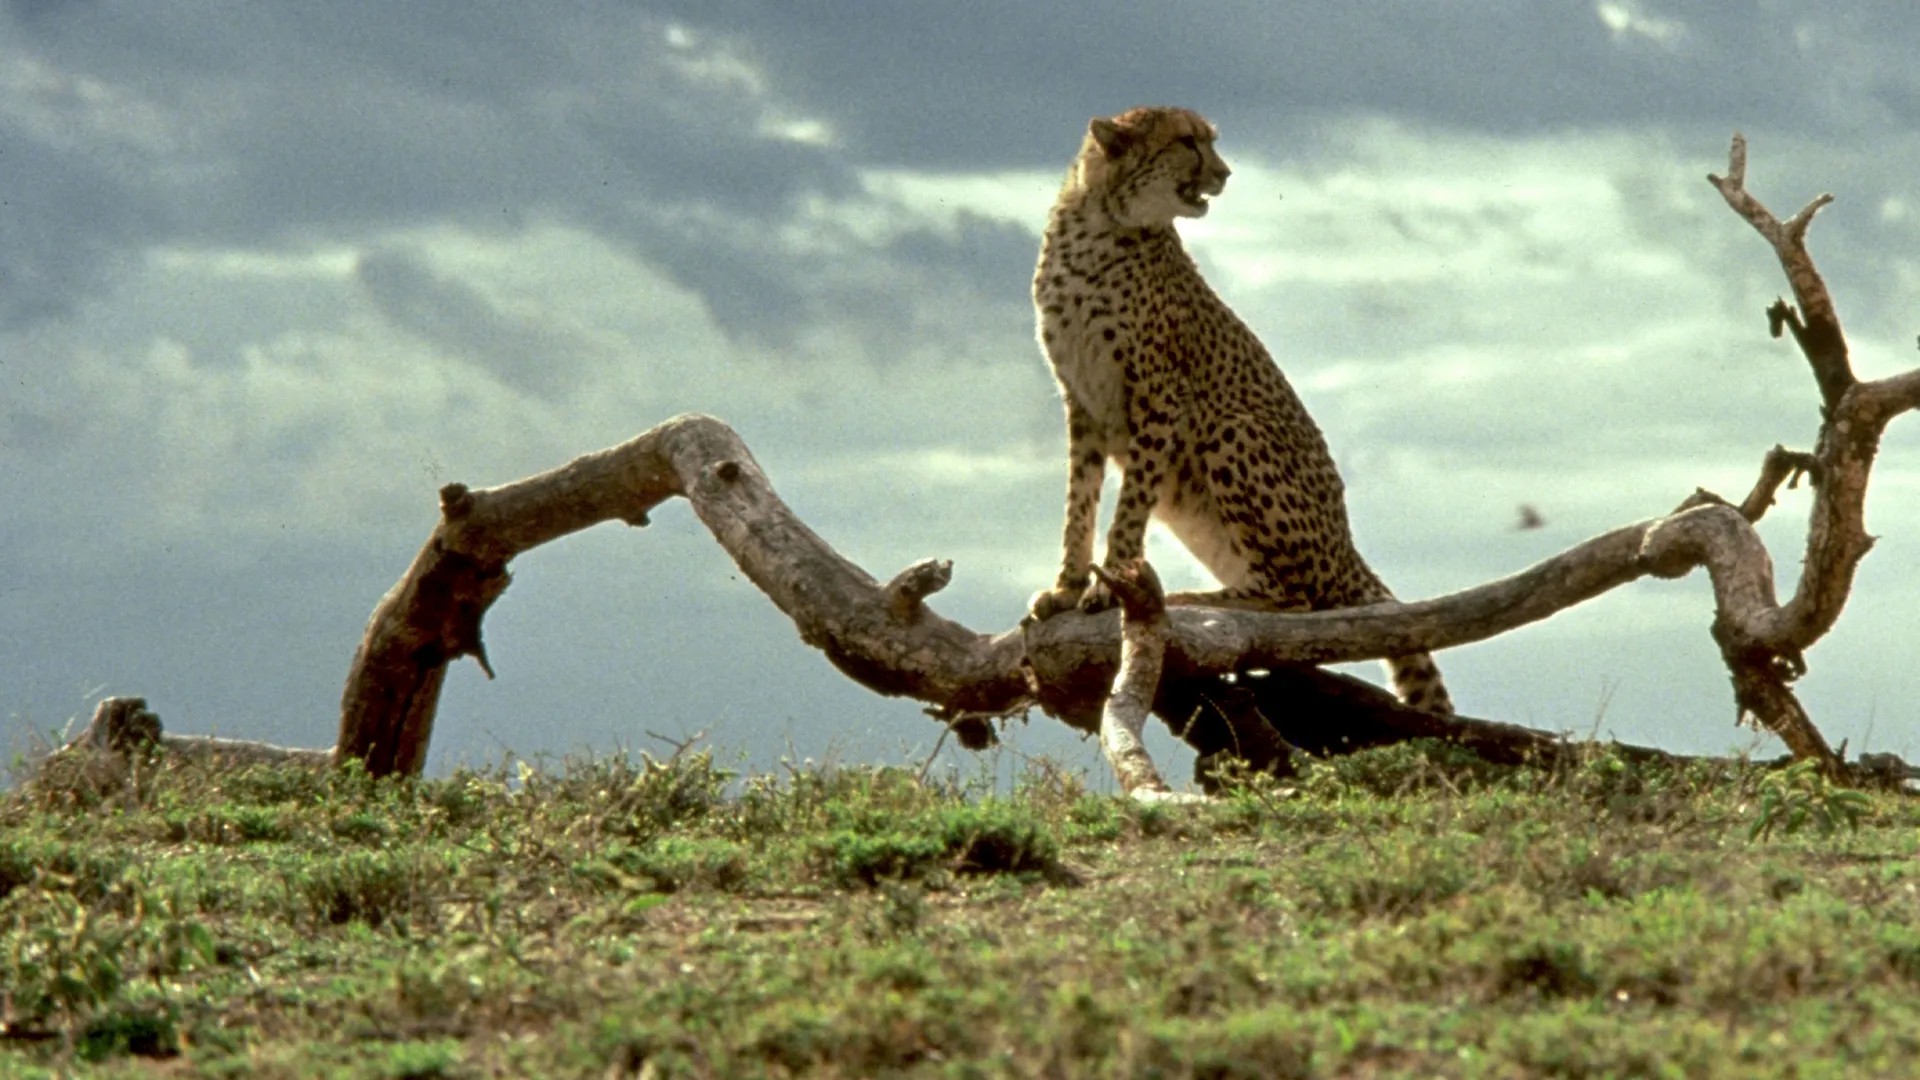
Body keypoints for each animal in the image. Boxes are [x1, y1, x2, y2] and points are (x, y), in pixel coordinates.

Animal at [1025, 105, 1452, 715]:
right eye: (1187, 142)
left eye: (1210, 141)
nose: (1224, 173)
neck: (1102, 224)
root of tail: (1348, 549)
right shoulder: (1081, 402)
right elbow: (1078, 504)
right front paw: (1065, 588)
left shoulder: (1159, 395)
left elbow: (1128, 508)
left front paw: (1108, 590)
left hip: (1234, 431)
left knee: (1300, 603)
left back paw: (1193, 599)